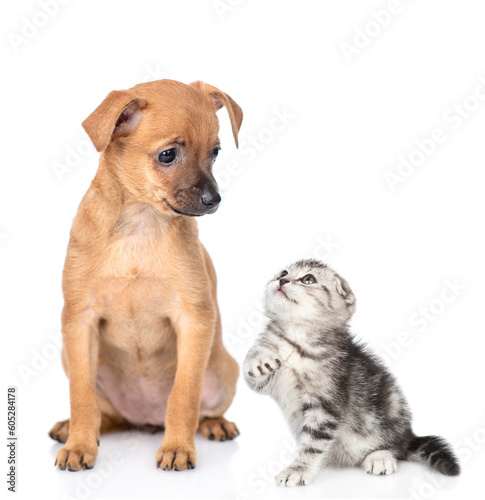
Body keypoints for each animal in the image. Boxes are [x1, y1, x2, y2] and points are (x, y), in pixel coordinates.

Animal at [49, 80, 242, 470]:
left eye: (214, 153)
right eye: (168, 155)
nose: (214, 199)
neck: (140, 224)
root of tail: (144, 420)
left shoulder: (194, 320)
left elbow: (184, 395)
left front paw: (178, 447)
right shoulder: (79, 322)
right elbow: (81, 396)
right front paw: (79, 445)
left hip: (224, 371)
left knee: (201, 410)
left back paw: (214, 425)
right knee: (104, 414)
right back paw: (73, 428)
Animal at [244, 260, 460, 486]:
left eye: (308, 279)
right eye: (283, 273)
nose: (282, 280)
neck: (297, 337)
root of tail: (408, 434)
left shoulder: (326, 402)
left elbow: (312, 443)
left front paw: (298, 469)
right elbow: (252, 371)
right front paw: (261, 359)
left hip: (389, 412)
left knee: (396, 448)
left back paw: (380, 456)